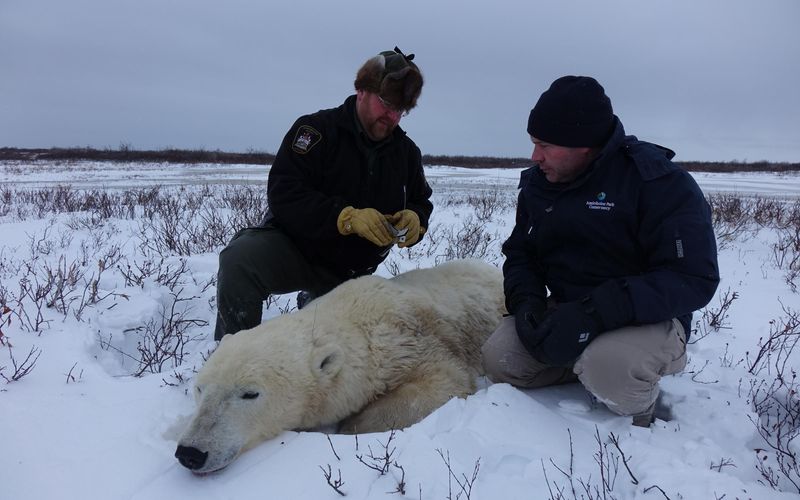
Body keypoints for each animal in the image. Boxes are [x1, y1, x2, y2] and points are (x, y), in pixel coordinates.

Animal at [177, 260, 500, 474]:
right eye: (199, 389)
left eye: (249, 394)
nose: (191, 452)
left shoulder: (415, 342)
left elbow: (443, 382)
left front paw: (349, 427)